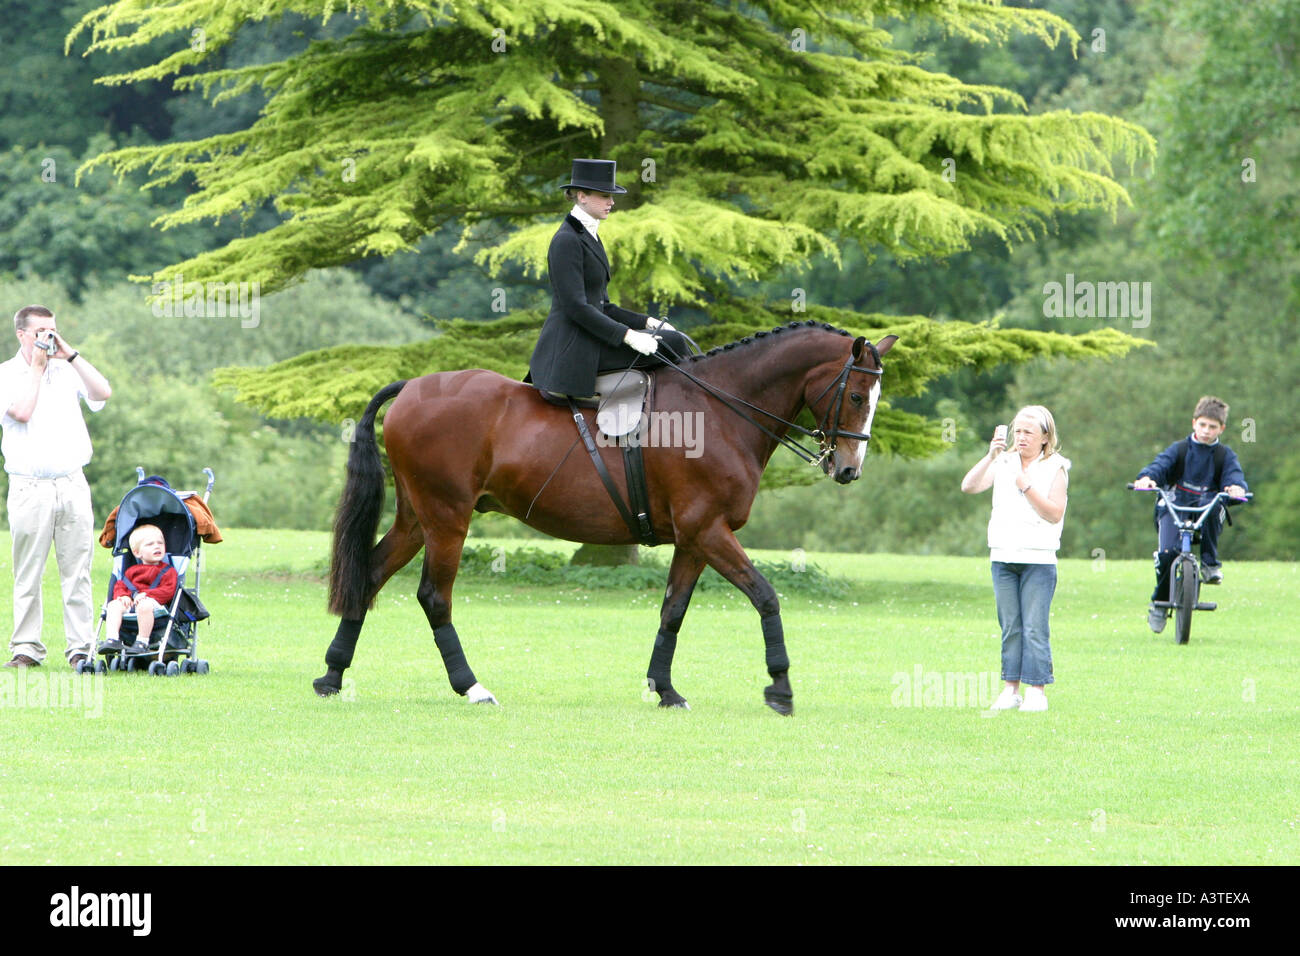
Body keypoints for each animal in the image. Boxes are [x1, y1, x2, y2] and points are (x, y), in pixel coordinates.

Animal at [313, 321, 898, 714]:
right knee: (434, 596)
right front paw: (780, 688)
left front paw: (665, 690)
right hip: (447, 519)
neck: (720, 411)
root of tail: (412, 386)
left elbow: (673, 611)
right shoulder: (710, 531)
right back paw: (471, 686)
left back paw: (332, 676)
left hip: (418, 519)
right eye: (856, 395)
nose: (848, 470)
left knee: (369, 574)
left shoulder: (694, 539)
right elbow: (766, 595)